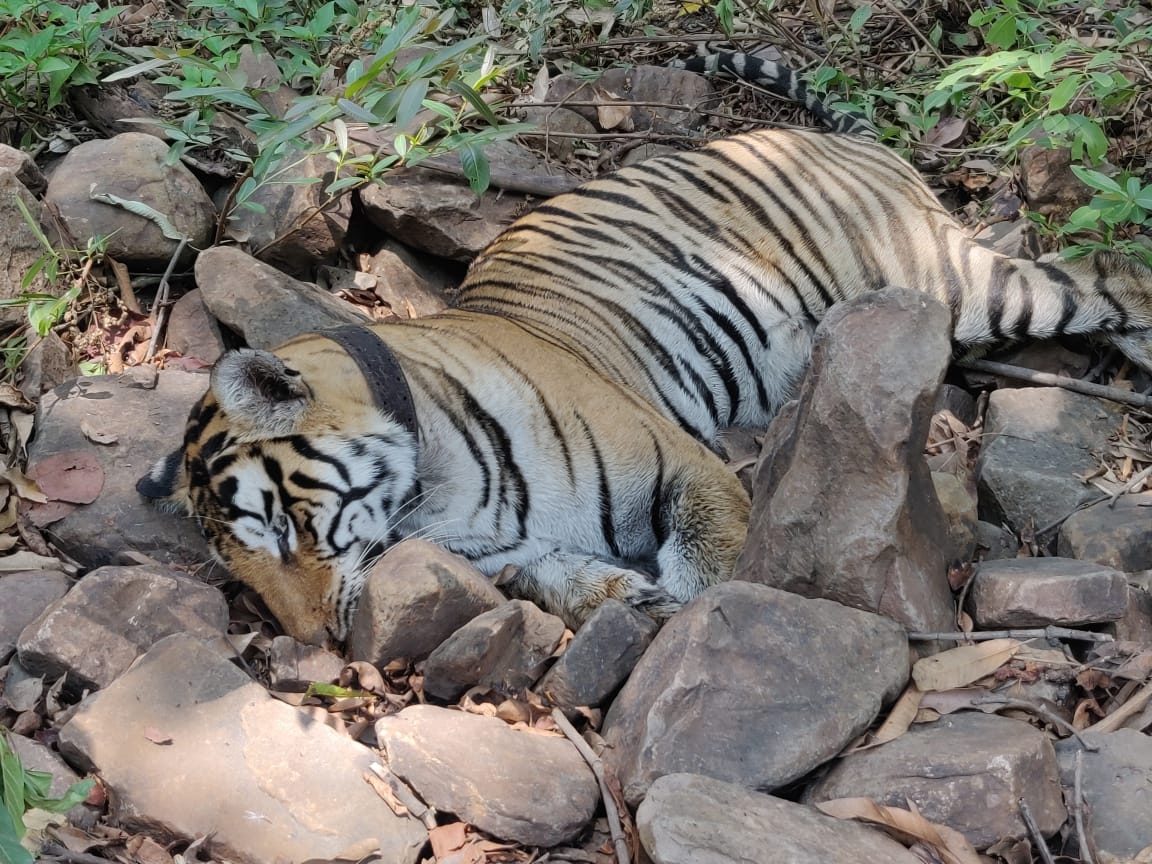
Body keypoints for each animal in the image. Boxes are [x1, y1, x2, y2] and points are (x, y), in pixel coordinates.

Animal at [139, 50, 1152, 645]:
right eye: (234, 571)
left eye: (277, 527)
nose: (310, 643)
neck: (428, 497)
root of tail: (847, 142)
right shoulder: (507, 552)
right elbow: (560, 577)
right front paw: (627, 600)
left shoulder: (681, 464)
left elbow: (713, 556)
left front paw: (704, 612)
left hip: (958, 283)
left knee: (1112, 276)